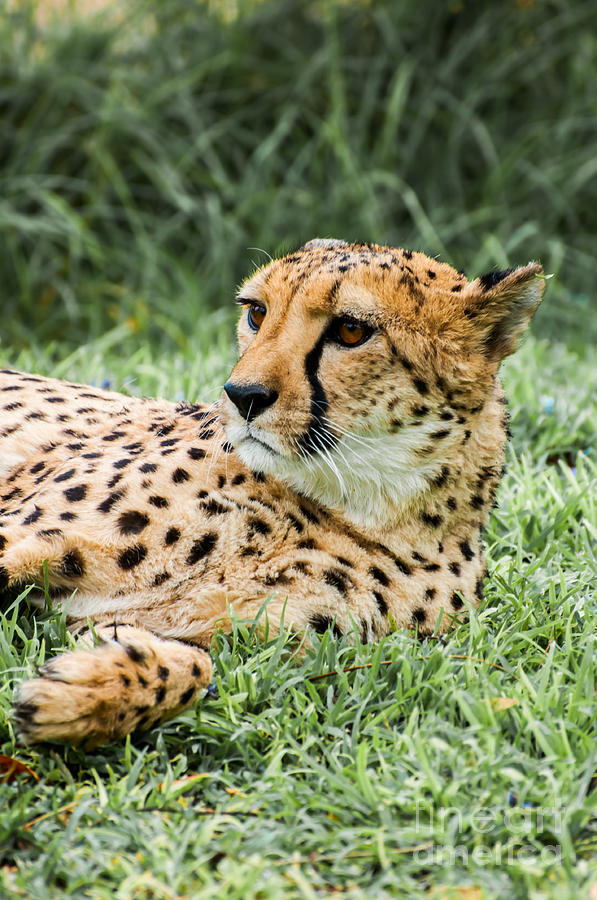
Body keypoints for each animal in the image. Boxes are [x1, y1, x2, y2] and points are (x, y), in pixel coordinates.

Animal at [0, 237, 544, 744]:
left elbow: (199, 667)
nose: (242, 396)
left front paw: (86, 694)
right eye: (257, 313)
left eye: (351, 330)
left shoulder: (255, 643)